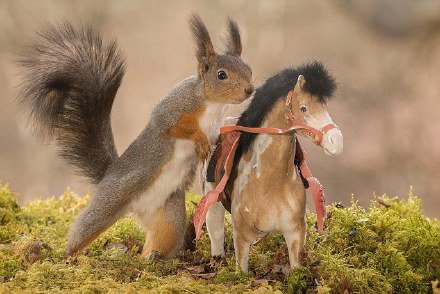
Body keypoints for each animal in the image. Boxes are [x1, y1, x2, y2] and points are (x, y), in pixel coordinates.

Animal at [18, 14, 254, 258]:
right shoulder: (171, 110)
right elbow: (176, 127)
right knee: (85, 227)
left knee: (162, 238)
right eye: (221, 75)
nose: (250, 90)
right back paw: (66, 255)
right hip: (111, 199)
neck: (213, 104)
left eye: (249, 69)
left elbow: (218, 138)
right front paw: (200, 141)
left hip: (169, 215)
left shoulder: (216, 127)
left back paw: (151, 258)